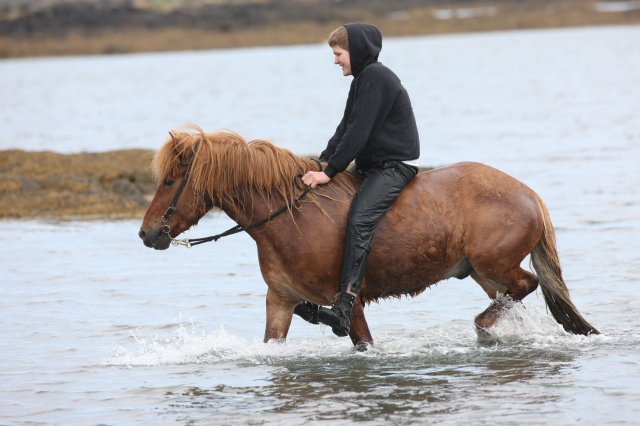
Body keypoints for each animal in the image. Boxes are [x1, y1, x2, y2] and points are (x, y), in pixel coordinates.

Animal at [138, 126, 596, 346]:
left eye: (171, 181)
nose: (147, 234)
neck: (292, 219)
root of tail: (528, 193)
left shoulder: (349, 304)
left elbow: (363, 344)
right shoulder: (280, 301)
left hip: (494, 264)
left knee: (525, 285)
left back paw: (484, 330)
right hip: (483, 273)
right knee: (515, 293)